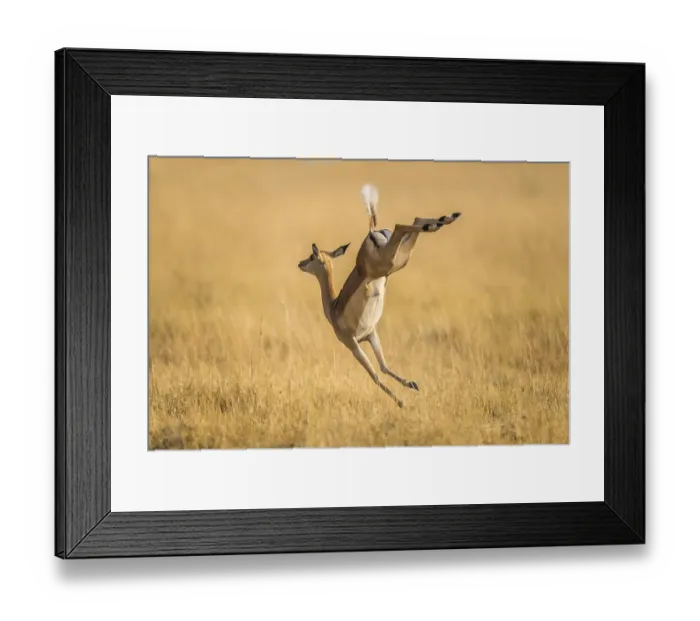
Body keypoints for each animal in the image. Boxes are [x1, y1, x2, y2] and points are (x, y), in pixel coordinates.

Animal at [297, 184, 461, 407]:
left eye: (311, 256)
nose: (300, 263)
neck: (334, 307)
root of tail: (372, 232)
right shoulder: (371, 334)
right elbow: (384, 367)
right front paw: (412, 385)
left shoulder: (351, 343)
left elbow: (374, 375)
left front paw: (401, 402)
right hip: (399, 259)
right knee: (414, 220)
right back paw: (446, 219)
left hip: (390, 262)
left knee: (401, 225)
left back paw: (443, 221)